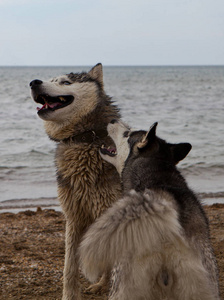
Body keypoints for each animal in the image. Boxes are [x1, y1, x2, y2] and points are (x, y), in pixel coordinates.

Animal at [30, 64, 122, 298]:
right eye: (51, 79)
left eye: (66, 82)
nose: (34, 82)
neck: (84, 139)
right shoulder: (74, 217)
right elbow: (69, 268)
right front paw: (69, 296)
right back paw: (100, 285)